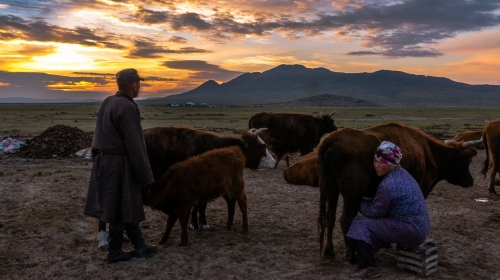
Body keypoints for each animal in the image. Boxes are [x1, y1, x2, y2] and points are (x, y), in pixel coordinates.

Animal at [316, 122, 484, 262]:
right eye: (467, 161)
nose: (470, 181)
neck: (429, 152)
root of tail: (330, 139)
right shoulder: (423, 188)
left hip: (331, 189)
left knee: (330, 218)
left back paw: (329, 251)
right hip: (352, 194)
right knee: (345, 220)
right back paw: (351, 255)